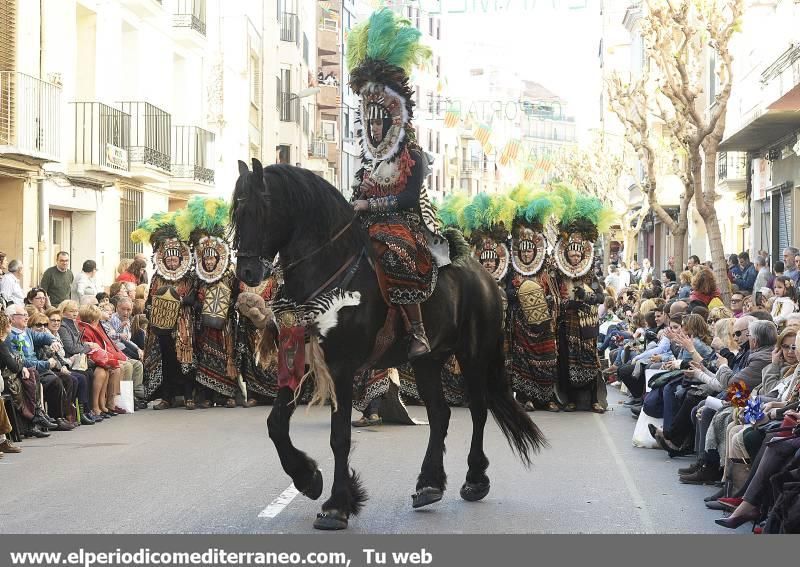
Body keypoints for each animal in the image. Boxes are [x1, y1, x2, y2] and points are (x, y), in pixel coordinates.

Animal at [231, 161, 544, 532]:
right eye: (237, 211)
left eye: (262, 209)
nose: (247, 271)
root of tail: (483, 275)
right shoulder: (300, 358)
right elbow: (276, 424)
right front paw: (308, 478)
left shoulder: (342, 366)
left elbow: (339, 437)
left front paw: (337, 506)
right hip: (428, 361)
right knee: (440, 415)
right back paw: (429, 485)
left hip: (473, 354)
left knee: (479, 411)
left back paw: (474, 479)